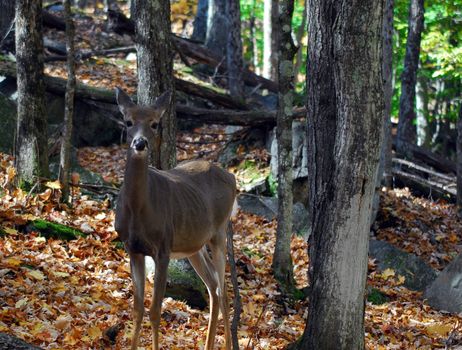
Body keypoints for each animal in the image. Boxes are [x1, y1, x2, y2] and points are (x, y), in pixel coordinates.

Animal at [114, 87, 236, 350]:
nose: (140, 143)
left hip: (219, 232)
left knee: (224, 292)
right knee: (213, 287)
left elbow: (155, 311)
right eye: (128, 121)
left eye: (155, 123)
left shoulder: (163, 247)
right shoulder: (133, 248)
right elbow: (137, 309)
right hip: (194, 245)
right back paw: (208, 345)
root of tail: (231, 176)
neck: (139, 210)